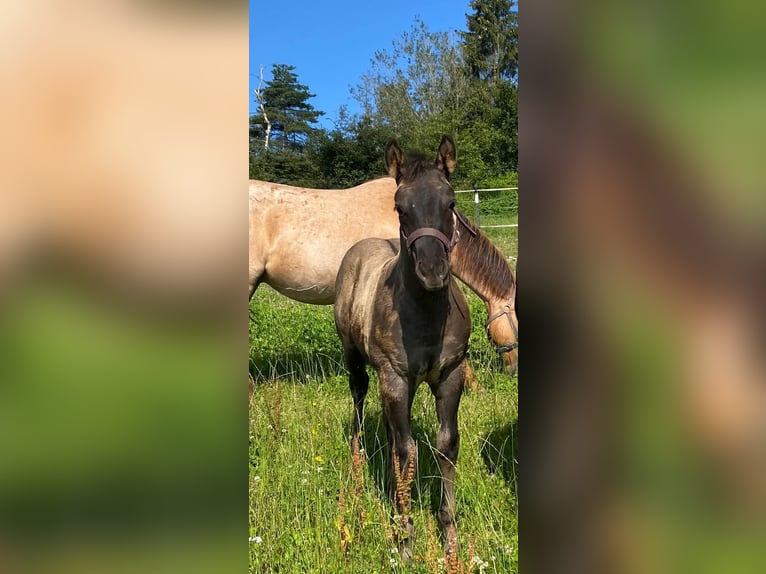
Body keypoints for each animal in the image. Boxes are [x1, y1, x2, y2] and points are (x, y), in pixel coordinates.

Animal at [336, 136, 474, 564]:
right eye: (400, 206)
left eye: (450, 202)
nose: (433, 271)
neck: (426, 315)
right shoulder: (395, 378)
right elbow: (405, 451)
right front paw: (405, 536)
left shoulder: (450, 375)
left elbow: (446, 444)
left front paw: (449, 536)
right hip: (356, 357)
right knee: (360, 394)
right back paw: (358, 456)